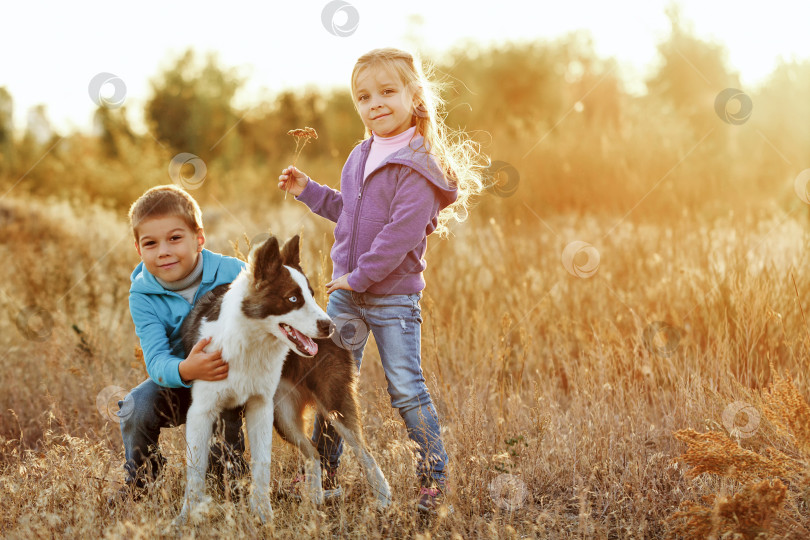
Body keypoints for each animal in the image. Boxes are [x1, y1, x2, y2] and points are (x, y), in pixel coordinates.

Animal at [174, 235, 392, 524]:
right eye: (293, 298)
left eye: (311, 295)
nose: (328, 326)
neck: (250, 342)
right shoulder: (203, 412)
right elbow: (195, 469)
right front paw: (187, 517)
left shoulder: (260, 408)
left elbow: (262, 466)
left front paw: (263, 515)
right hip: (285, 416)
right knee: (314, 452)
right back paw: (314, 501)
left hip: (331, 406)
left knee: (364, 452)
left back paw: (383, 500)